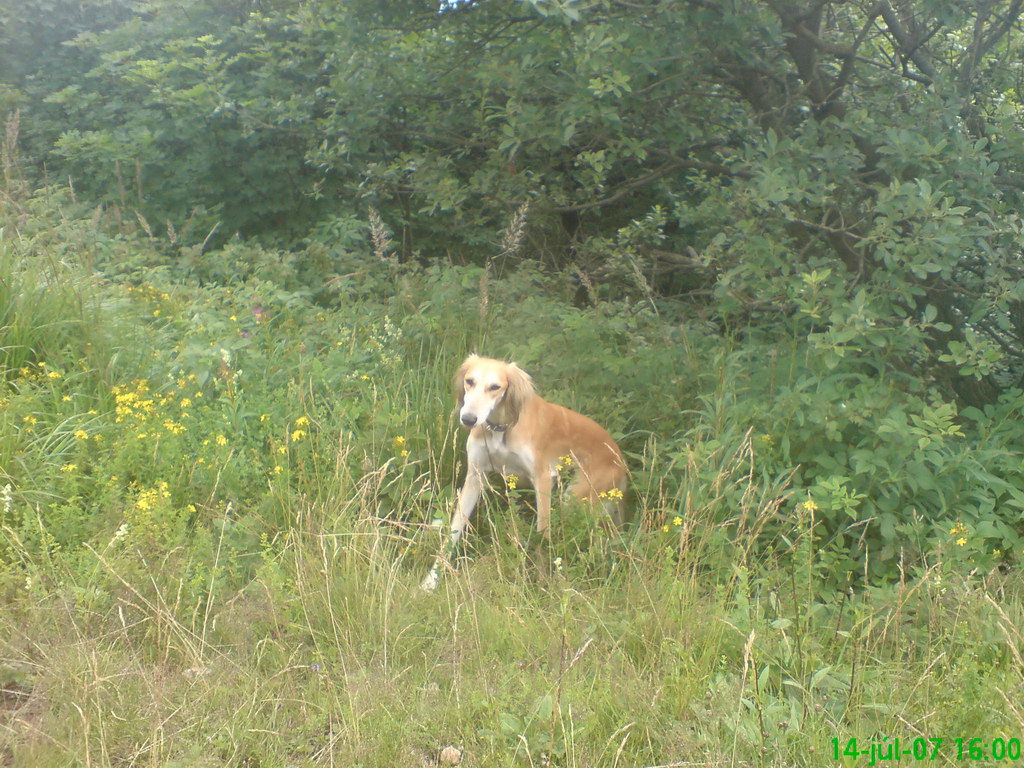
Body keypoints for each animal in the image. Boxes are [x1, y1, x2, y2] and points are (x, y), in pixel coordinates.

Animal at [419, 352, 626, 593]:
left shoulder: (543, 478)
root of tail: (620, 460)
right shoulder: (475, 476)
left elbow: (542, 533)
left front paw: (542, 582)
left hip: (574, 496)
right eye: (469, 381)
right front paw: (430, 582)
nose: (469, 419)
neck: (501, 429)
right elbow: (453, 532)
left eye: (495, 387)